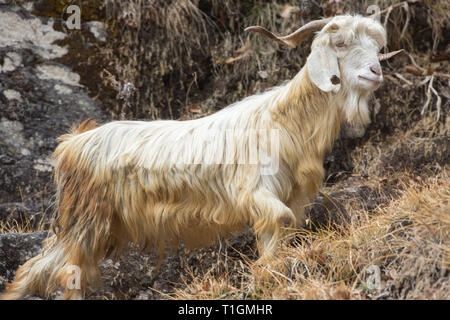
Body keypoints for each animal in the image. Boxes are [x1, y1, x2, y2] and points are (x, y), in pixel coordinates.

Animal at [1, 14, 402, 300]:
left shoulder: (290, 198)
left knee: (45, 270)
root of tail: (72, 143)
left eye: (375, 45)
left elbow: (280, 237)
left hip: (93, 225)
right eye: (341, 42)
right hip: (86, 221)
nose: (375, 72)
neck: (283, 120)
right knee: (61, 272)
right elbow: (278, 225)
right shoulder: (258, 193)